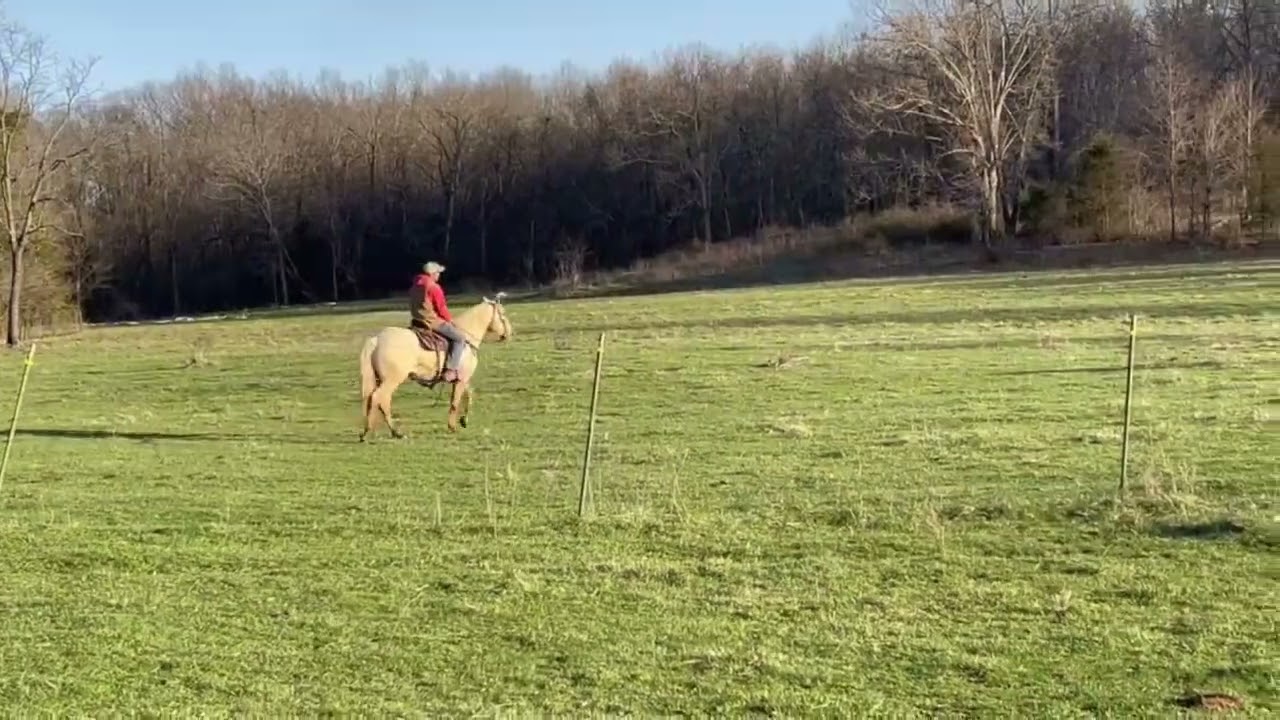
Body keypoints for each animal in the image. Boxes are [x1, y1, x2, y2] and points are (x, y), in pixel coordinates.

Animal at [358, 293, 512, 440]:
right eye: (503, 313)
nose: (508, 333)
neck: (466, 338)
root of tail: (377, 339)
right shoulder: (462, 379)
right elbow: (455, 402)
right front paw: (452, 427)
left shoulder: (462, 378)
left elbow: (469, 395)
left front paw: (464, 420)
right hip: (392, 380)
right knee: (380, 398)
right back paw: (391, 432)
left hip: (381, 380)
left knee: (376, 400)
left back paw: (372, 432)